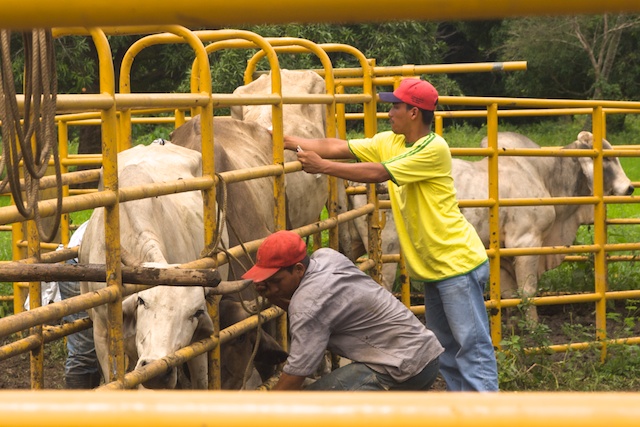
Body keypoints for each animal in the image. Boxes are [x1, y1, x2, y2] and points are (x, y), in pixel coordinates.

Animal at [342, 132, 632, 322]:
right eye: (606, 159)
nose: (629, 187)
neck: (544, 176)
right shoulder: (525, 242)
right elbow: (528, 292)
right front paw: (533, 328)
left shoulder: (501, 250)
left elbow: (508, 293)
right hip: (388, 249)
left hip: (354, 242)